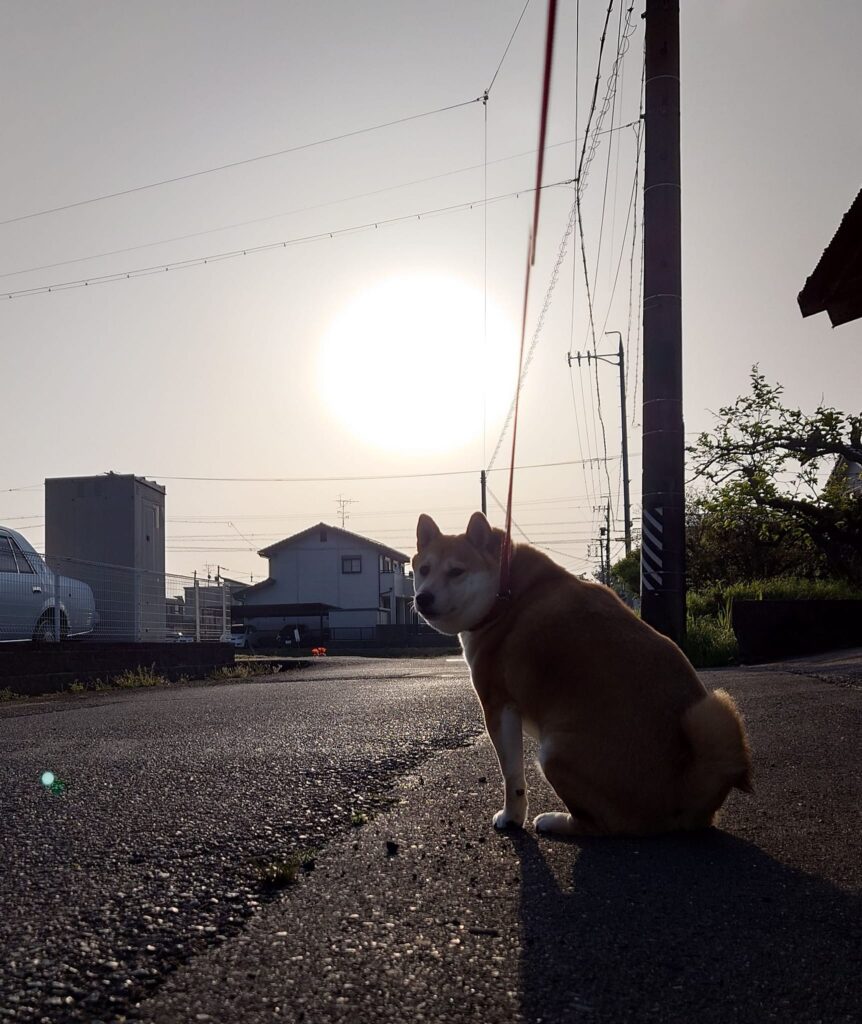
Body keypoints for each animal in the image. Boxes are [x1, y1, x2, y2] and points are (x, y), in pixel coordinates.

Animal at [413, 507, 749, 835]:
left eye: (456, 571)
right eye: (423, 570)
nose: (422, 597)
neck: (505, 594)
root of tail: (686, 794)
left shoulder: (498, 704)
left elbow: (512, 777)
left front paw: (511, 817)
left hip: (553, 752)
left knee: (600, 826)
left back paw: (555, 821)